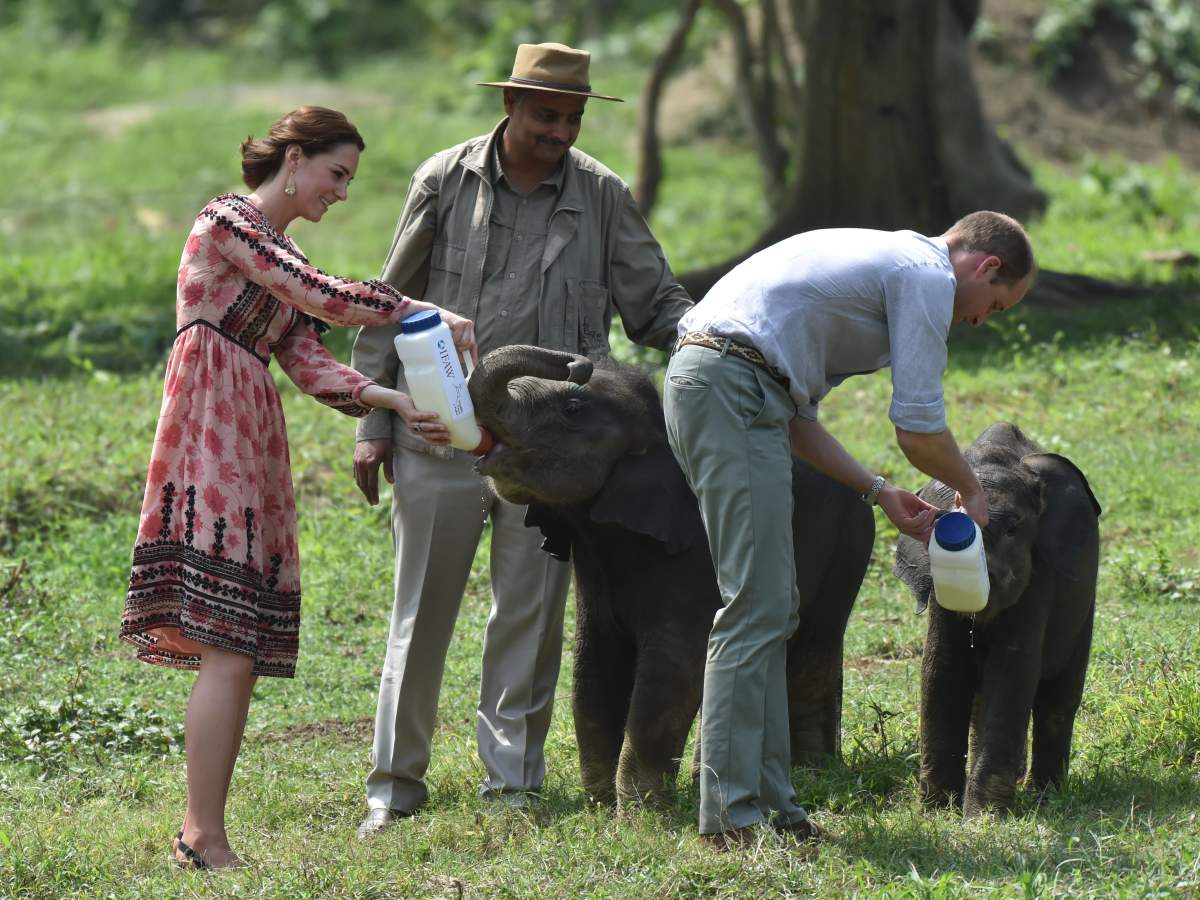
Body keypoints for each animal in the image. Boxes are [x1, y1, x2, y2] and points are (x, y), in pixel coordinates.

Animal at [467, 345, 875, 806]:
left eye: (572, 408)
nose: (576, 362)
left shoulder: (695, 558)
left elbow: (670, 674)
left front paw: (639, 812)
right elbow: (593, 669)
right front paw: (601, 807)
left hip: (848, 543)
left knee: (810, 651)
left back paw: (812, 774)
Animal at [893, 422, 1101, 818]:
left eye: (1012, 529)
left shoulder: (1039, 570)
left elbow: (1012, 666)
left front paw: (983, 818)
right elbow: (941, 668)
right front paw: (936, 813)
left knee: (1058, 698)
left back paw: (1045, 796)